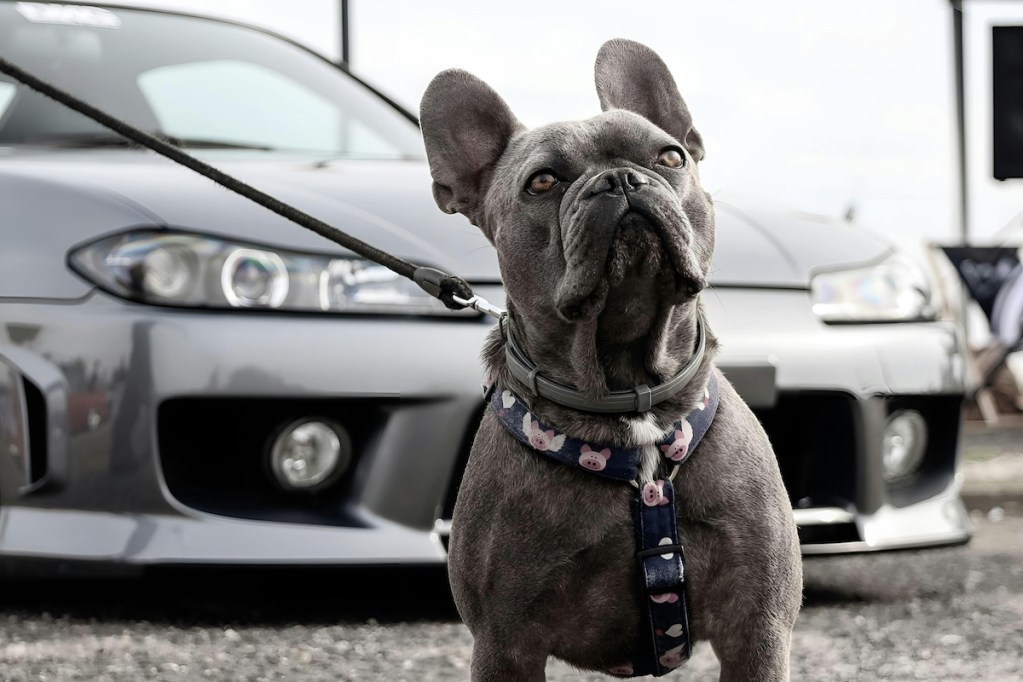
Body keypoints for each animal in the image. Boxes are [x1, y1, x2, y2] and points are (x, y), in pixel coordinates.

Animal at [419, 38, 802, 682]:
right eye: (542, 182)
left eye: (670, 156)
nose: (621, 178)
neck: (628, 393)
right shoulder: (504, 643)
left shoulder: (757, 628)